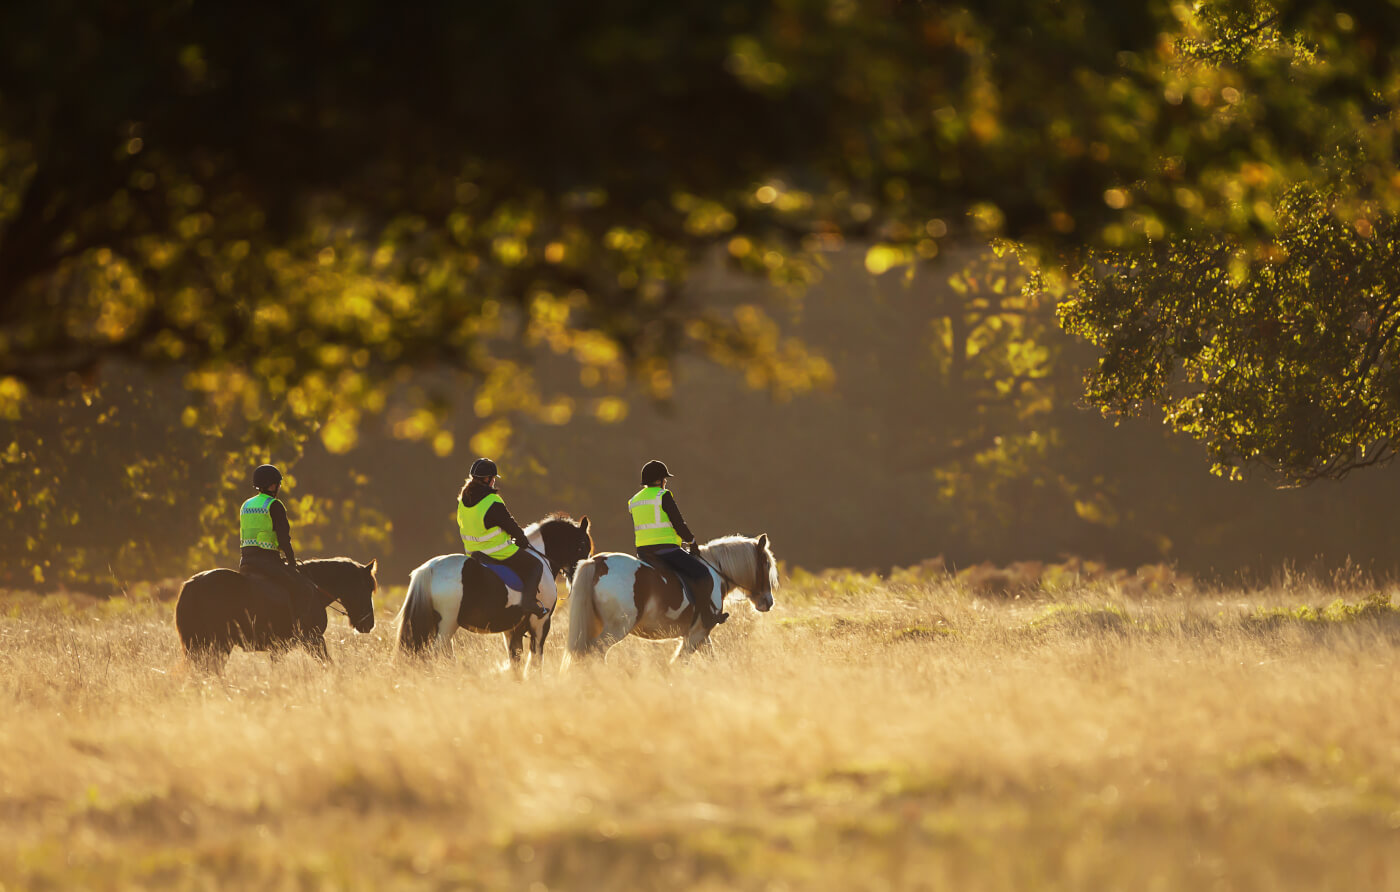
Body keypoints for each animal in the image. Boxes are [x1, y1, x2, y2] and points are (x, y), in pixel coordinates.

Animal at [172, 554, 380, 672]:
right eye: (367, 588)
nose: (368, 624)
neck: (315, 587)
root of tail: (192, 584)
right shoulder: (313, 640)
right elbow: (329, 665)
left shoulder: (278, 648)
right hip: (218, 644)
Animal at [392, 512, 593, 672]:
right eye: (583, 544)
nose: (579, 574)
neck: (541, 557)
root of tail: (431, 568)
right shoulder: (541, 623)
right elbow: (535, 659)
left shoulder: (513, 630)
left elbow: (515, 660)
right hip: (446, 625)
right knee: (435, 656)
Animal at [562, 532, 778, 663]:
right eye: (766, 564)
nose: (768, 602)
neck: (715, 572)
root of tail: (599, 562)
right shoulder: (697, 633)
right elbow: (680, 662)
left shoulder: (700, 633)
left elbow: (711, 658)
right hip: (616, 629)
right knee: (595, 652)